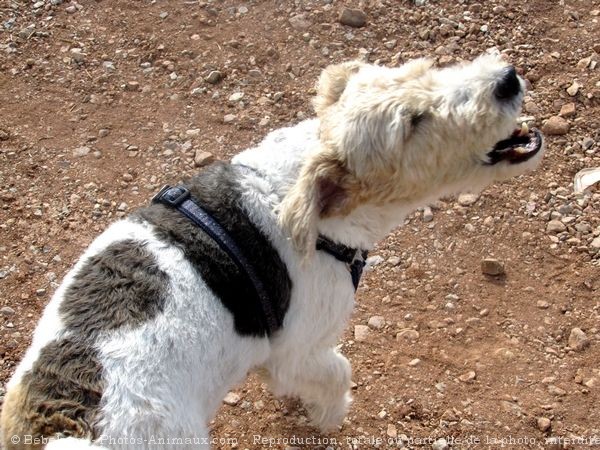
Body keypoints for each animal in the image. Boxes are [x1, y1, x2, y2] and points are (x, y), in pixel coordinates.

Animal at [0, 53, 544, 450]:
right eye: (413, 122)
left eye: (425, 70)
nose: (507, 80)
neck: (292, 192)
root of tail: (60, 427)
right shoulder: (299, 348)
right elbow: (336, 373)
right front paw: (328, 417)